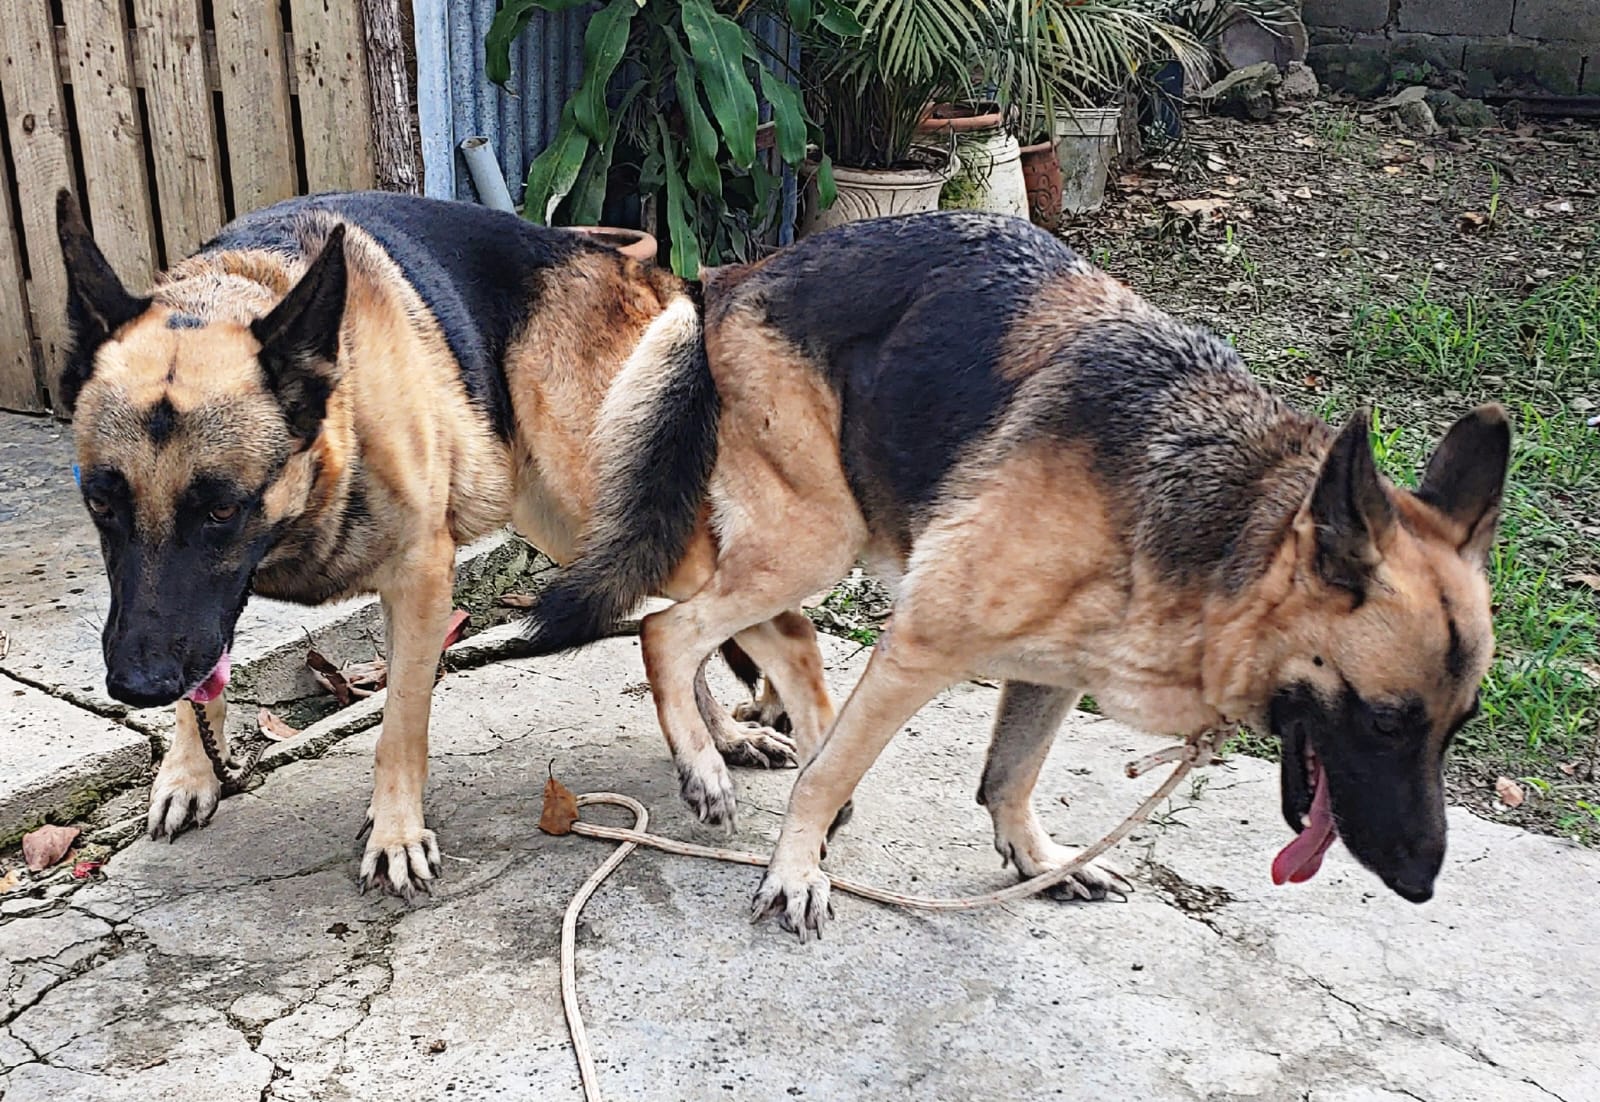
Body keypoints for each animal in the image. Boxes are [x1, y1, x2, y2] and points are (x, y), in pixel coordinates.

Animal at [54, 188, 832, 895]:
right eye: (101, 503)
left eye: (221, 509)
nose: (137, 687)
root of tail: (664, 281)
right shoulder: (203, 601)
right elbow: (203, 659)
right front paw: (189, 767)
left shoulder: (421, 578)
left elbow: (401, 723)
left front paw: (395, 833)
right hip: (572, 521)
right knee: (678, 621)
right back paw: (720, 740)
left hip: (591, 494)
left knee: (746, 617)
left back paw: (732, 746)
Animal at [518, 212, 1504, 934]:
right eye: (1386, 722)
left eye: (1458, 726)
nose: (1422, 882)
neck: (1223, 521)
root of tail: (729, 277)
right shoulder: (920, 649)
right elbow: (827, 776)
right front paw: (796, 868)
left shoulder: (1053, 669)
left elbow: (1011, 777)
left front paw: (1039, 863)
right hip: (815, 538)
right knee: (669, 628)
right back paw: (704, 760)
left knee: (729, 627)